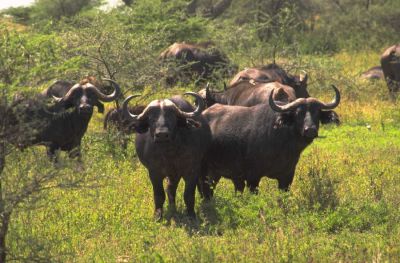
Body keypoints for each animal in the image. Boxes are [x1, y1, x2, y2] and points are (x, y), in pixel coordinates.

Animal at [122, 92, 211, 220]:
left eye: (171, 116)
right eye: (151, 118)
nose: (162, 135)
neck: (169, 153)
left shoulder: (191, 171)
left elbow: (188, 194)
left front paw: (191, 214)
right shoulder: (154, 173)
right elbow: (159, 194)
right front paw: (158, 215)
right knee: (170, 188)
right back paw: (172, 206)